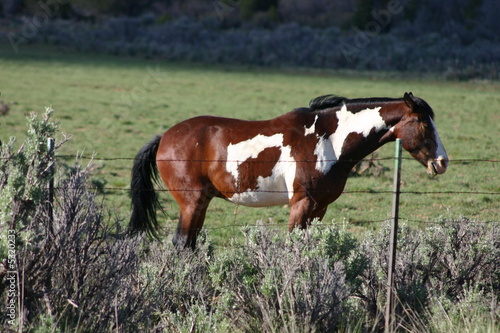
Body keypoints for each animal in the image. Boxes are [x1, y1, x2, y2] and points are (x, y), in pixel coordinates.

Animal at [129, 92, 450, 248]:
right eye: (423, 123)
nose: (442, 162)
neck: (327, 139)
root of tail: (165, 137)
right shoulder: (301, 204)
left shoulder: (319, 208)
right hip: (192, 202)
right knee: (182, 243)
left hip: (201, 202)